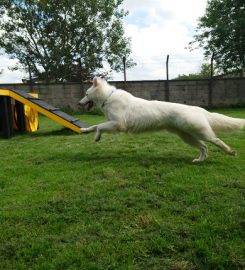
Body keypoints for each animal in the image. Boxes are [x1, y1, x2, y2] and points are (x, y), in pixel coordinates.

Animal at [79, 77, 244, 162]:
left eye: (86, 94)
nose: (79, 103)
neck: (108, 97)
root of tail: (197, 108)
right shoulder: (113, 123)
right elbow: (95, 125)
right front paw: (84, 130)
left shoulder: (118, 124)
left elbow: (99, 126)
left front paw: (97, 137)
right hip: (186, 136)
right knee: (204, 147)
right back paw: (199, 161)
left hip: (199, 132)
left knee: (216, 141)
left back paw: (230, 152)